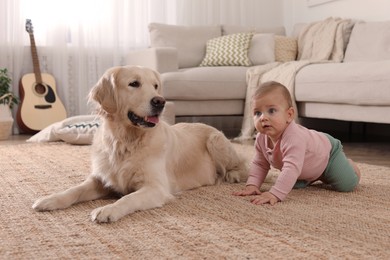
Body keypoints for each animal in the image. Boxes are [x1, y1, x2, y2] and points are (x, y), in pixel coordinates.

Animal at [32, 65, 247, 223]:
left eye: (155, 86)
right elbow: (74, 190)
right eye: (134, 84)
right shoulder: (100, 179)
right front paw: (50, 199)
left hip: (215, 141)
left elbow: (128, 198)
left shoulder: (156, 188)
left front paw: (108, 209)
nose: (160, 101)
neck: (126, 140)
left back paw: (233, 175)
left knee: (242, 165)